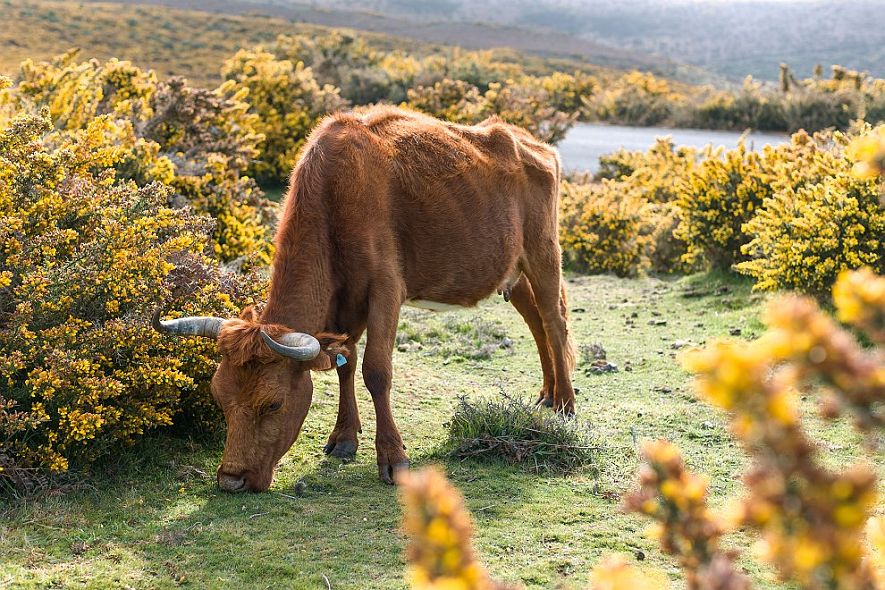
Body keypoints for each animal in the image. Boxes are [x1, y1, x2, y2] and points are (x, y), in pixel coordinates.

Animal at [155, 107, 576, 494]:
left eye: (273, 404)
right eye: (218, 396)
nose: (231, 480)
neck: (335, 193)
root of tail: (530, 142)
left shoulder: (386, 290)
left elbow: (376, 370)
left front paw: (392, 457)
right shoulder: (344, 304)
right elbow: (345, 362)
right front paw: (344, 438)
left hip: (544, 252)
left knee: (554, 321)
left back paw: (566, 404)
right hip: (513, 272)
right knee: (536, 322)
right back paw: (546, 395)